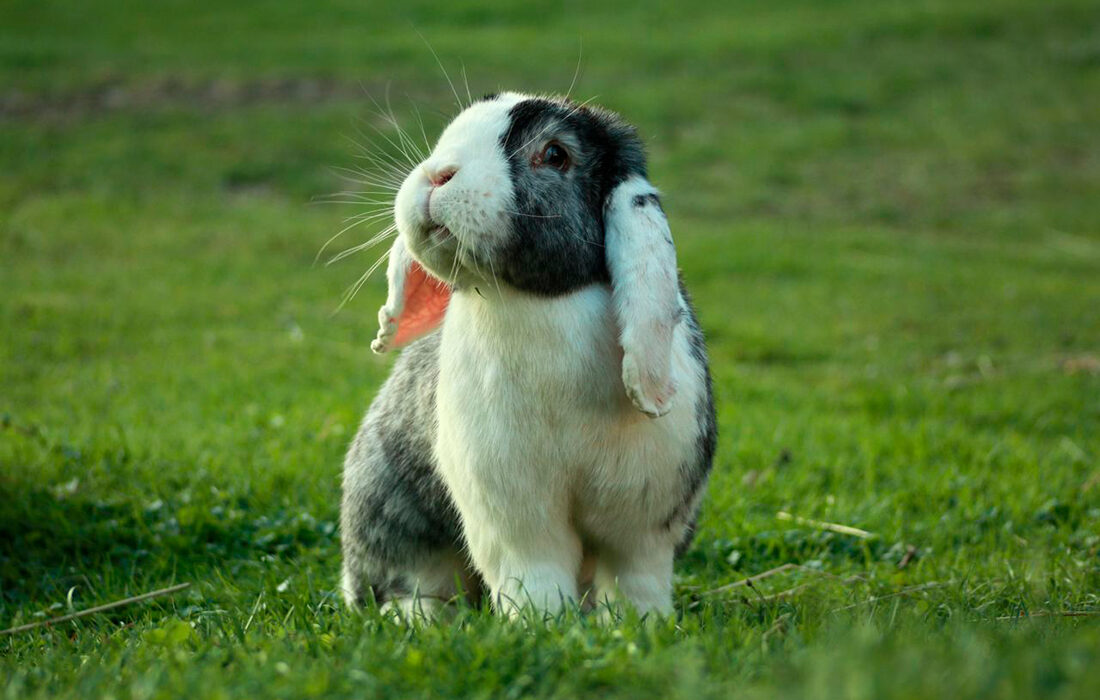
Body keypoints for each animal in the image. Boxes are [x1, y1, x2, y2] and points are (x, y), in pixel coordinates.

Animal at [340, 92, 716, 618]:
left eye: (555, 155)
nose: (437, 175)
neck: (538, 300)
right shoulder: (512, 509)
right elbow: (534, 574)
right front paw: (541, 625)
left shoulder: (645, 520)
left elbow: (635, 580)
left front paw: (640, 628)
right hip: (389, 514)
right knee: (407, 584)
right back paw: (422, 620)